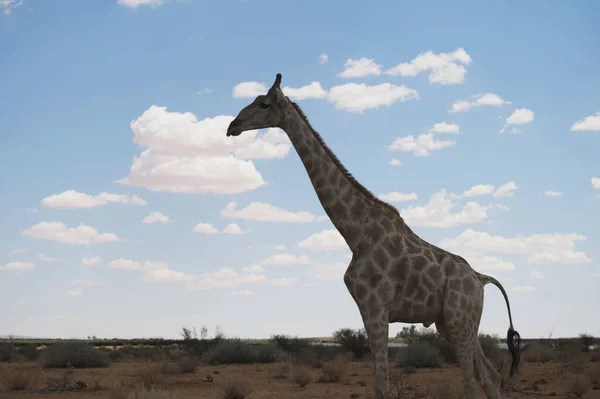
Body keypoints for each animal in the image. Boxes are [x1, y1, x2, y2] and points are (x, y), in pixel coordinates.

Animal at [226, 72, 520, 399]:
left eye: (264, 104)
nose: (232, 126)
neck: (355, 233)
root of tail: (481, 278)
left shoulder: (376, 305)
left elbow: (382, 383)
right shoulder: (367, 309)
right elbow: (380, 382)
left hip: (460, 319)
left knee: (472, 383)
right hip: (452, 322)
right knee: (491, 376)